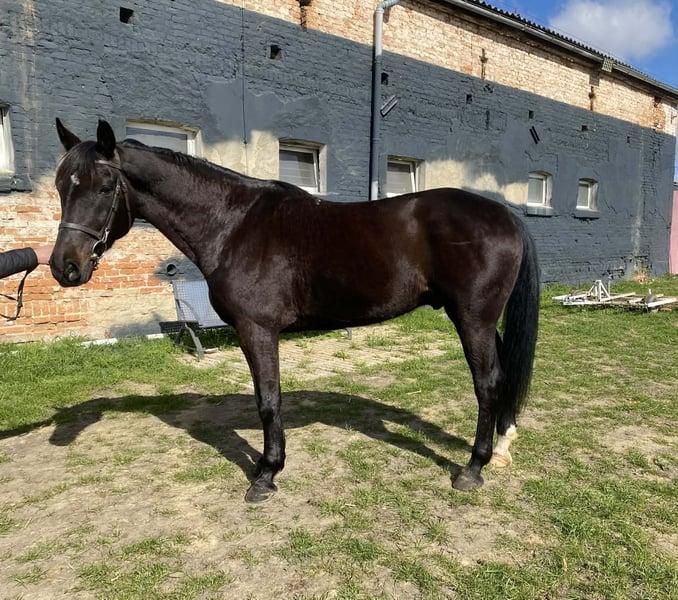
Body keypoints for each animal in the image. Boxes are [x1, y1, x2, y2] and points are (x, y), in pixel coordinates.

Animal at [51, 119, 539, 503]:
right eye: (60, 186)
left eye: (105, 187)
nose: (64, 267)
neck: (232, 224)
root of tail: (507, 216)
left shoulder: (257, 330)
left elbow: (268, 401)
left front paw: (266, 475)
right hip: (478, 319)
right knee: (502, 376)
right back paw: (501, 447)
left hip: (472, 318)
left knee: (487, 382)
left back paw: (472, 468)